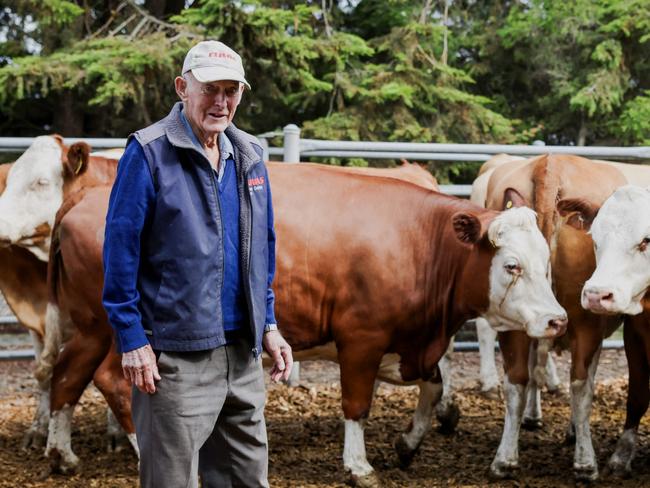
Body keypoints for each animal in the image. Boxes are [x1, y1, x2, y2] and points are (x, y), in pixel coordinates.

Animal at [44, 161, 560, 484]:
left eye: (547, 262)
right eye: (511, 265)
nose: (556, 320)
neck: (420, 241)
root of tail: (88, 196)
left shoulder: (412, 341)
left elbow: (432, 389)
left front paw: (409, 443)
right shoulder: (361, 338)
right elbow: (357, 404)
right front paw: (358, 466)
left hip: (90, 327)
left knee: (67, 375)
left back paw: (61, 453)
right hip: (120, 332)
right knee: (114, 380)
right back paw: (138, 451)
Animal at [484, 155, 624, 480]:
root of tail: (551, 163)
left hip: (512, 320)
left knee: (516, 380)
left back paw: (504, 459)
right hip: (586, 319)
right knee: (580, 385)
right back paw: (585, 462)